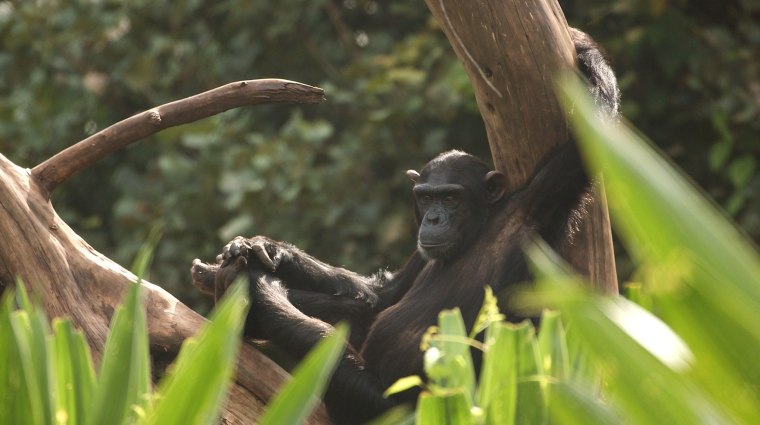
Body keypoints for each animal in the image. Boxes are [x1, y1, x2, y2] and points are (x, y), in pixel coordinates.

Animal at [190, 28, 616, 422]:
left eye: (451, 198)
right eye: (426, 197)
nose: (434, 218)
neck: (478, 232)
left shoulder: (539, 203)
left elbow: (586, 145)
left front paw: (584, 47)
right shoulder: (419, 255)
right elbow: (381, 294)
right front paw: (261, 248)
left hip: (393, 408)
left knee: (324, 345)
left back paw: (252, 290)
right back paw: (223, 280)